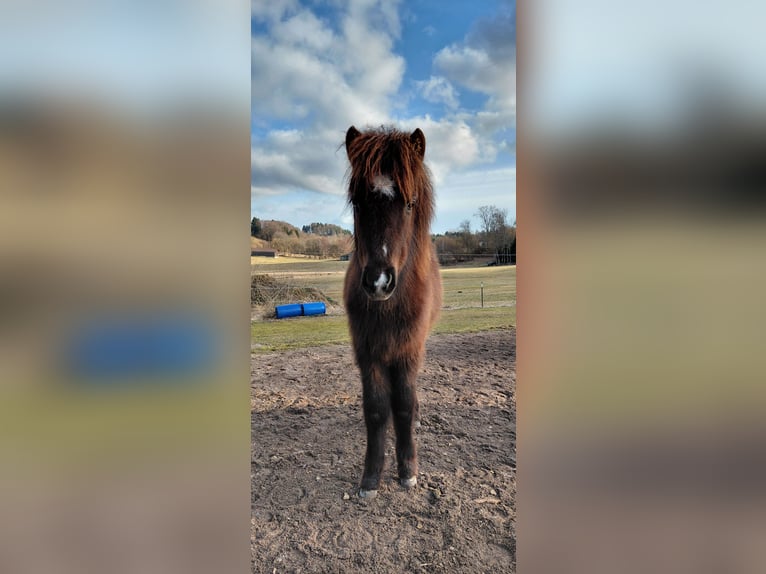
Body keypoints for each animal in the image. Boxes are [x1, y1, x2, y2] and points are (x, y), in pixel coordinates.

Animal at [343, 125, 442, 498]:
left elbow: (401, 404)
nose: (379, 281)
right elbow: (375, 408)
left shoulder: (408, 351)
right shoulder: (367, 351)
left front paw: (407, 471)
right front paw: (371, 477)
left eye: (410, 203)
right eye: (357, 202)